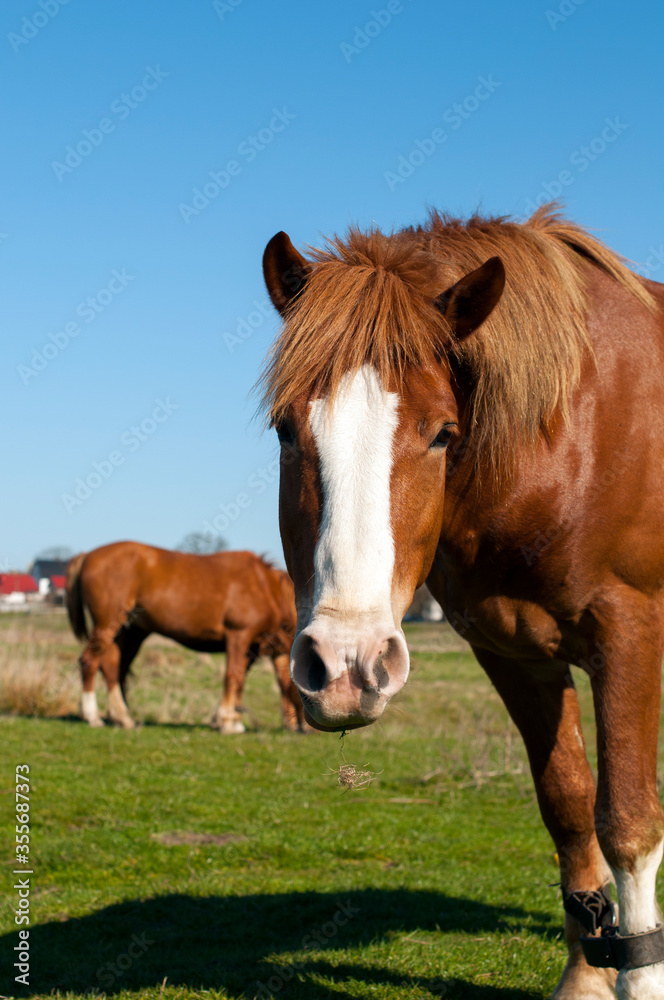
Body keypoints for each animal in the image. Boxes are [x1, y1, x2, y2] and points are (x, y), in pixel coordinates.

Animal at [67, 548, 306, 736]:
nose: (310, 729)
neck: (265, 585)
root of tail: (86, 555)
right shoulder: (239, 636)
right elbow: (233, 677)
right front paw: (227, 722)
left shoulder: (255, 647)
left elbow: (243, 681)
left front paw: (232, 719)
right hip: (108, 625)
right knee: (89, 661)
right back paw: (93, 715)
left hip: (129, 631)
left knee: (113, 666)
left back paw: (122, 716)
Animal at [260, 205, 664, 1000]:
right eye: (287, 429)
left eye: (443, 433)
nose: (346, 667)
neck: (568, 438)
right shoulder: (515, 654)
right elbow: (569, 806)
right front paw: (586, 976)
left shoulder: (630, 635)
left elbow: (629, 822)